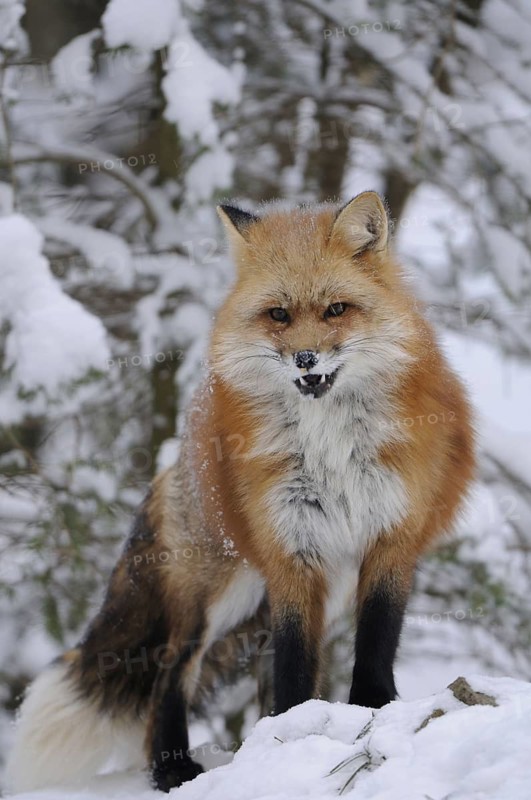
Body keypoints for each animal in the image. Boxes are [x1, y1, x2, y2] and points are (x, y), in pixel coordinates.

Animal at [6, 192, 475, 793]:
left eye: (336, 310)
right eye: (278, 315)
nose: (306, 359)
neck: (330, 446)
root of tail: (181, 446)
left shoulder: (390, 536)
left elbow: (375, 639)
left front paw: (368, 709)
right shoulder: (290, 547)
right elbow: (294, 661)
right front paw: (292, 735)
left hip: (307, 589)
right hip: (217, 591)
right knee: (170, 674)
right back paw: (172, 769)